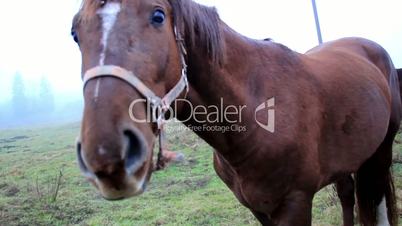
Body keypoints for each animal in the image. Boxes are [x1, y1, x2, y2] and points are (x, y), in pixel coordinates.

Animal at [73, 0, 402, 225]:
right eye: (75, 32)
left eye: (158, 16)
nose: (106, 154)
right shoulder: (258, 209)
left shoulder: (295, 204)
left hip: (380, 152)